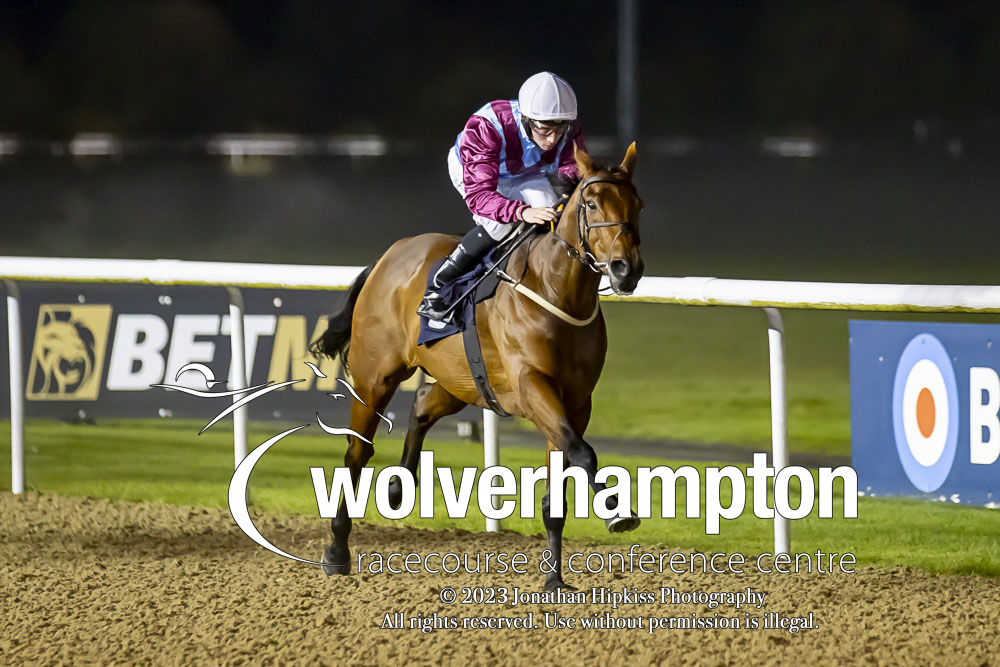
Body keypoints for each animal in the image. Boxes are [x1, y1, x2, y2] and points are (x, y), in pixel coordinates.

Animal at [308, 142, 644, 588]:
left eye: (637, 205)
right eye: (590, 204)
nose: (627, 268)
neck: (556, 291)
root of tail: (389, 256)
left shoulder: (575, 401)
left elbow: (561, 479)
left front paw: (554, 580)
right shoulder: (532, 385)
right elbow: (584, 452)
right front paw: (617, 512)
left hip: (462, 382)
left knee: (422, 404)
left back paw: (399, 487)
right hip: (374, 376)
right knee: (356, 453)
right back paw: (337, 549)